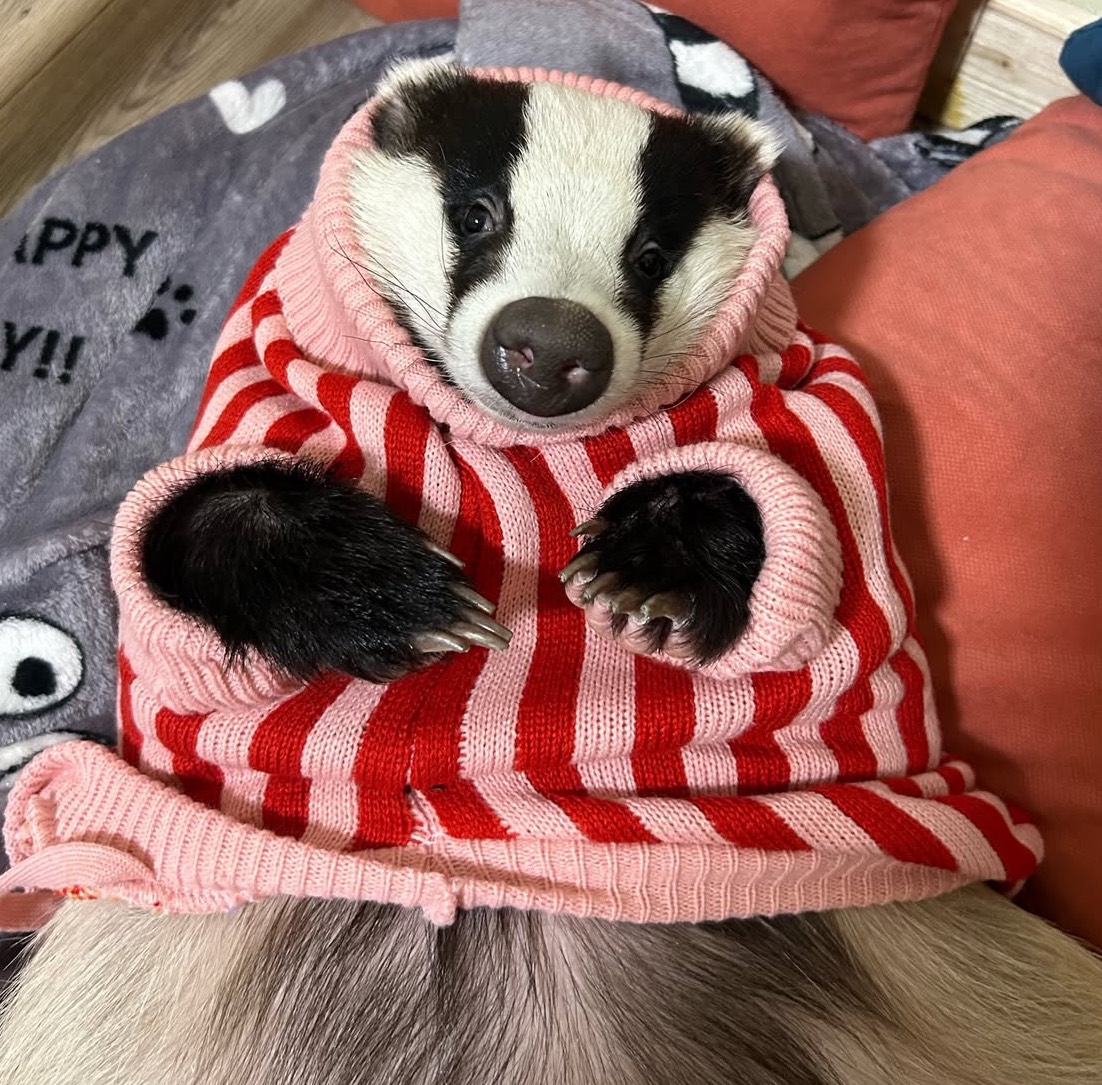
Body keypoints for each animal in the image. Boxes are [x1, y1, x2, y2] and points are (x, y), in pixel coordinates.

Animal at [0, 59, 1100, 1085]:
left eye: (650, 253)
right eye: (476, 212)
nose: (545, 345)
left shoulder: (808, 390)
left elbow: (813, 502)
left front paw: (644, 569)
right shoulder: (270, 370)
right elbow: (185, 523)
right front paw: (405, 598)